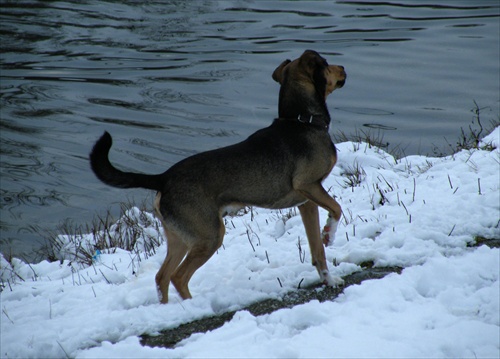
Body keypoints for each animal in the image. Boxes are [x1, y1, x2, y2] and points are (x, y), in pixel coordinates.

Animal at [90, 50, 346, 304]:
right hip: (210, 236)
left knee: (162, 277)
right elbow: (337, 209)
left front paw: (328, 279)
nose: (343, 68)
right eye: (325, 63)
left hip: (179, 238)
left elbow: (318, 250)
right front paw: (329, 234)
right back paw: (194, 306)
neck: (303, 121)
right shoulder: (308, 185)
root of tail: (163, 178)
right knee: (178, 277)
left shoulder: (307, 203)